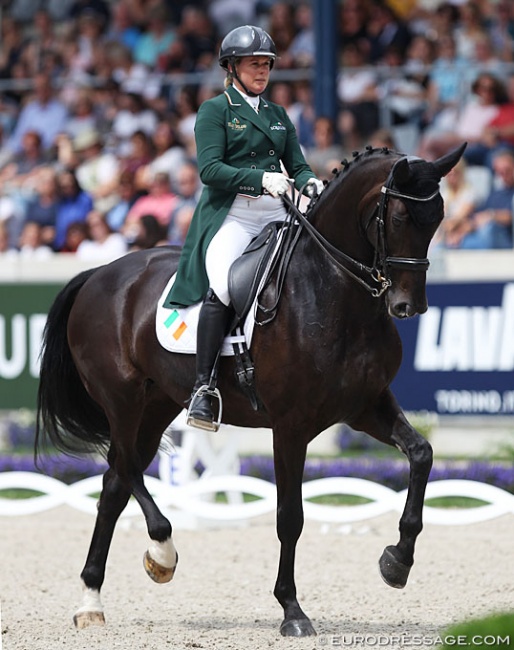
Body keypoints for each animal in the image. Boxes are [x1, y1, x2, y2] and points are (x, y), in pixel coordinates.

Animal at [33, 142, 464, 632]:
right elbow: (290, 517)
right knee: (123, 467)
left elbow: (422, 454)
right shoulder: (291, 426)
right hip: (121, 399)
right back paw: (162, 552)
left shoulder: (365, 407)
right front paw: (292, 610)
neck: (332, 290)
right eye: (398, 217)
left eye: (438, 217)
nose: (410, 305)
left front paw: (397, 562)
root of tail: (100, 274)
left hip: (156, 404)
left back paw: (93, 599)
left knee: (114, 485)